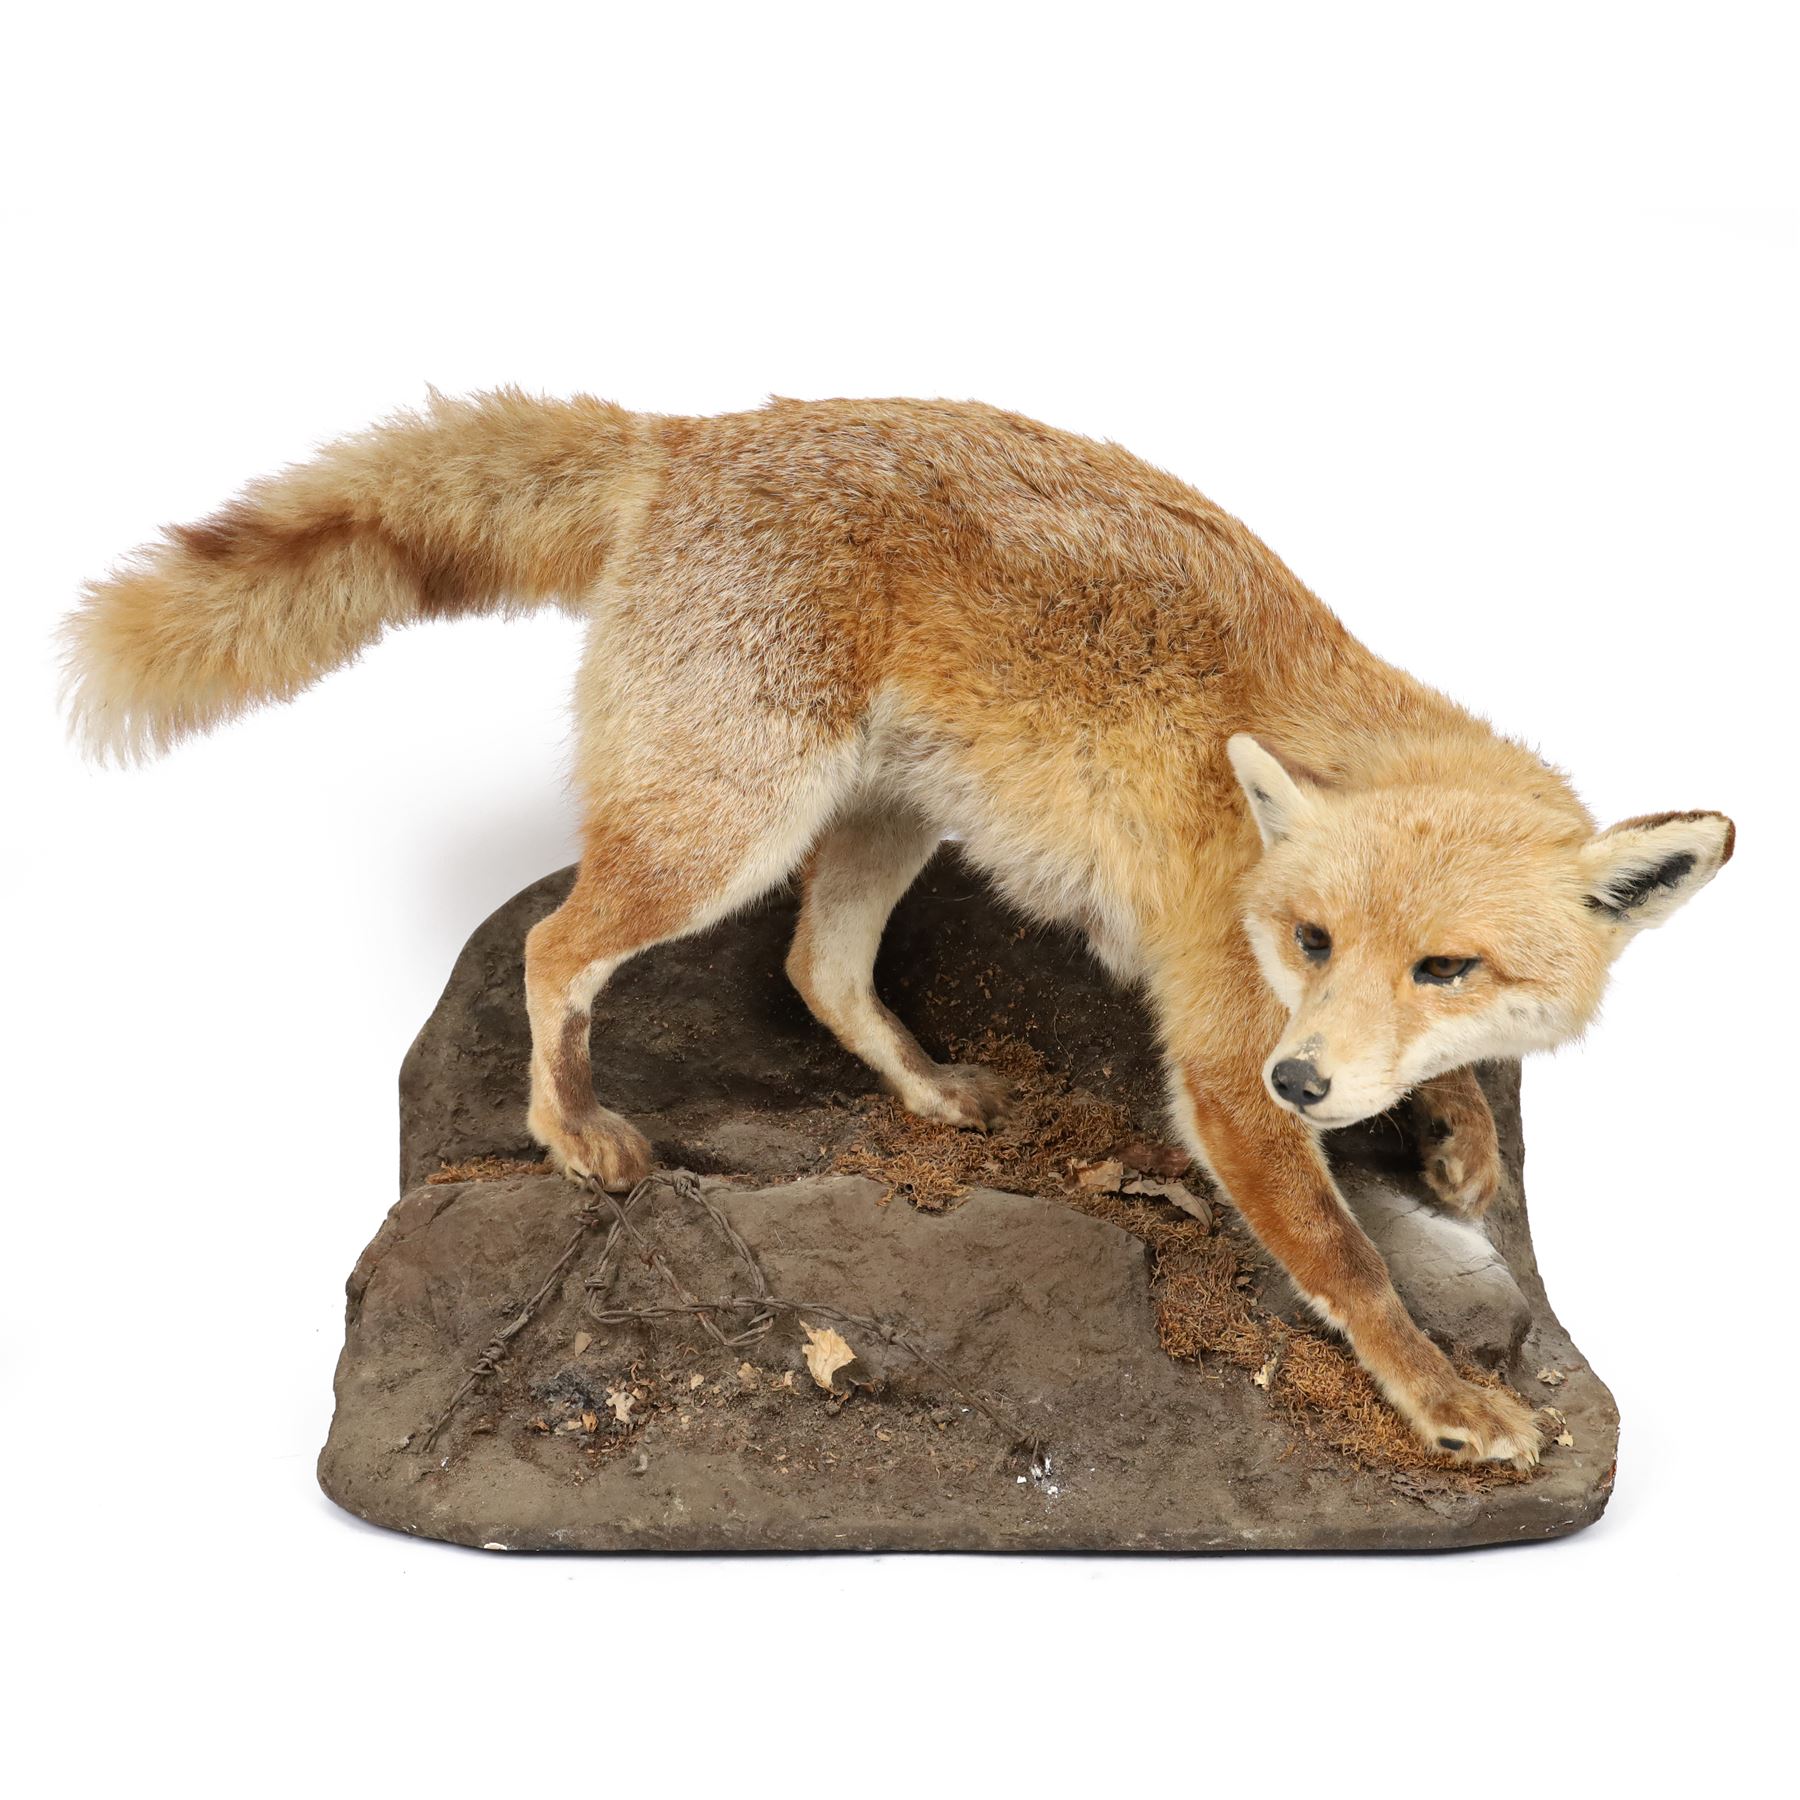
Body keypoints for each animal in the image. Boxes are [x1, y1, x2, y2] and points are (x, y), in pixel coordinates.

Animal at [62, 390, 1734, 1468]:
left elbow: (1443, 1108)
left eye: (1445, 965)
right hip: (726, 834)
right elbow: (1345, 1261)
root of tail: (698, 435)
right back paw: (572, 1129)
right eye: (1310, 940)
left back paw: (926, 1093)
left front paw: (1458, 1135)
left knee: (814, 966)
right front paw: (1442, 1398)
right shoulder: (1217, 1055)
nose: (1308, 1086)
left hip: (881, 824)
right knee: (553, 948)